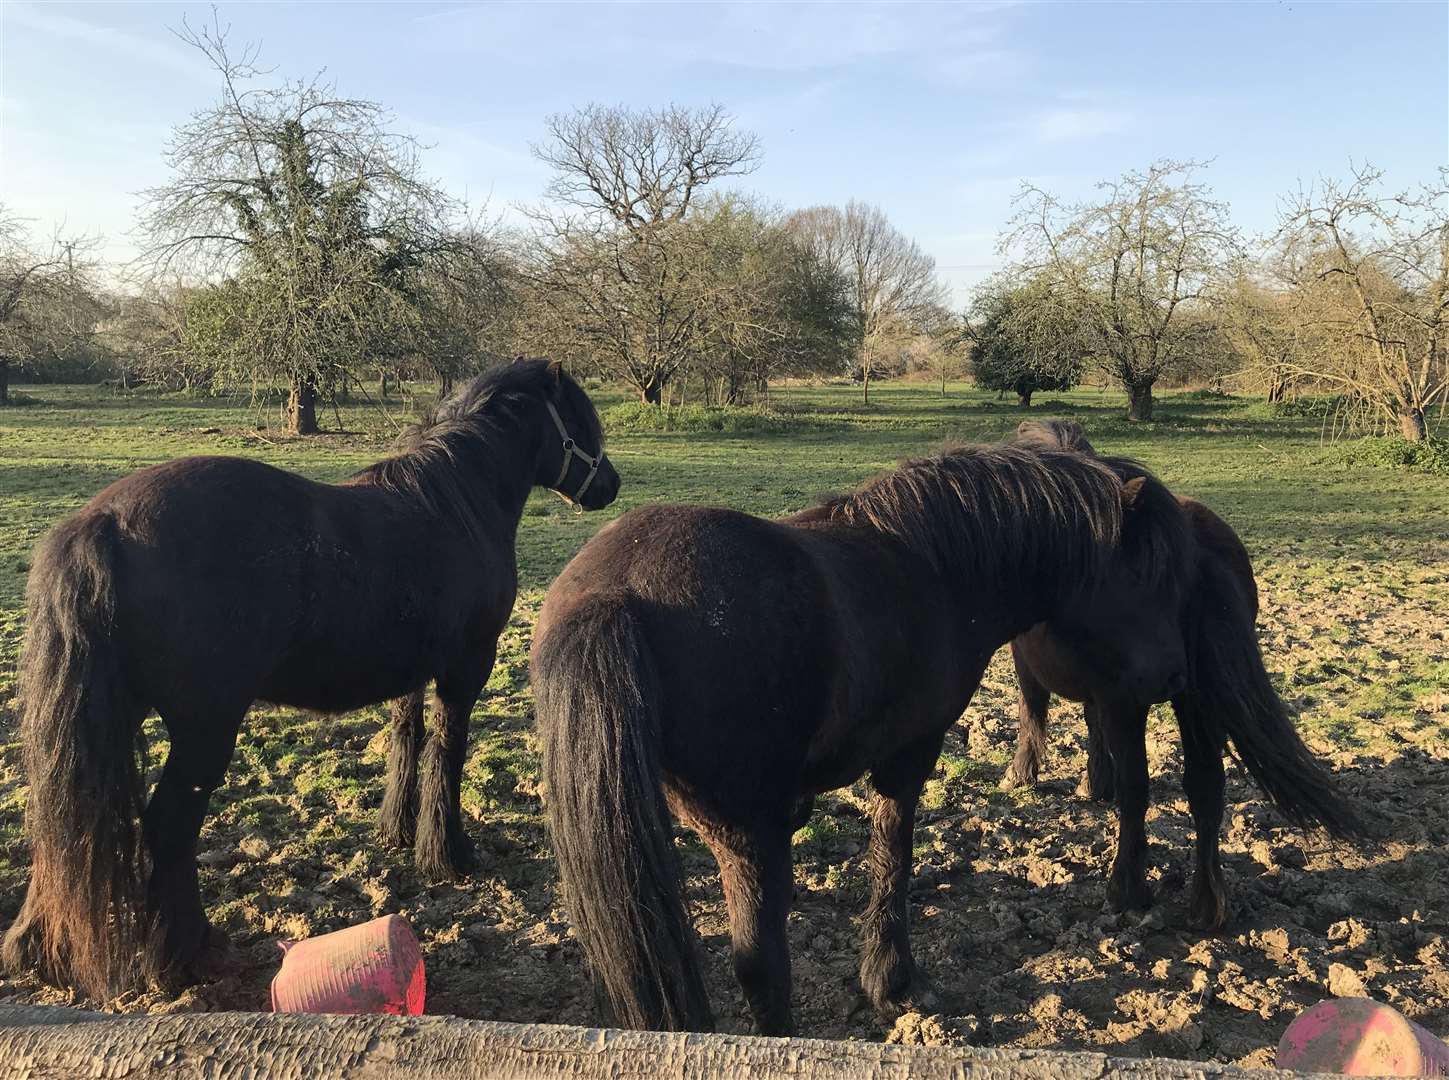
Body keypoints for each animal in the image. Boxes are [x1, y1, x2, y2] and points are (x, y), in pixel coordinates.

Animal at [0, 358, 614, 997]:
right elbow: (448, 751)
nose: (610, 486)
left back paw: (38, 950)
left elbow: (408, 737)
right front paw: (449, 854)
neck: (454, 507)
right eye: (577, 418)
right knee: (169, 825)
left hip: (105, 723)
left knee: (65, 830)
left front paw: (398, 832)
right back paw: (189, 955)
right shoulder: (465, 665)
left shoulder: (412, 670)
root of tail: (105, 521)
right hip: (204, 728)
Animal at [527, 443, 1136, 1032]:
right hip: (746, 835)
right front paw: (892, 982)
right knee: (761, 967)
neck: (936, 567)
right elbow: (892, 856)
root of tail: (614, 592)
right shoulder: (908, 755)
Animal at [1008, 417, 1356, 921]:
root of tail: (1200, 550)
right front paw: (1094, 781)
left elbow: (1033, 713)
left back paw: (1127, 889)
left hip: (1137, 701)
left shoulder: (1058, 675)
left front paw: (1024, 774)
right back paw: (1207, 903)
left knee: (1138, 787)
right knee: (1206, 786)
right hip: (1196, 700)